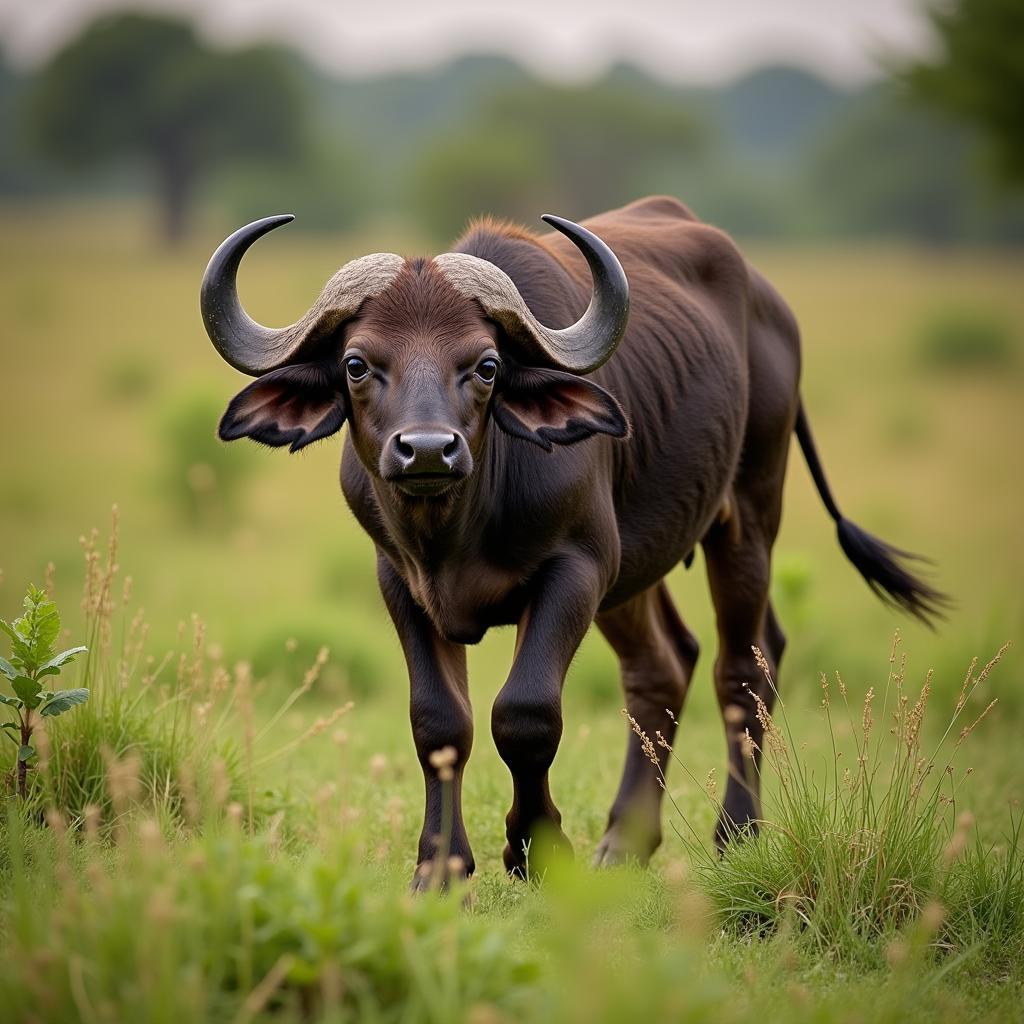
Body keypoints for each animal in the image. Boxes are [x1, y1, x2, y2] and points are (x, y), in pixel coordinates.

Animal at [199, 195, 942, 884]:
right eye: (357, 364)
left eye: (486, 365)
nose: (429, 450)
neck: (459, 526)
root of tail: (771, 309)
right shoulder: (400, 581)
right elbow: (438, 723)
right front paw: (440, 868)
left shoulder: (577, 568)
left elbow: (526, 714)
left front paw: (536, 848)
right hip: (637, 568)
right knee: (664, 664)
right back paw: (624, 841)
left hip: (750, 512)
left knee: (746, 664)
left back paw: (736, 833)